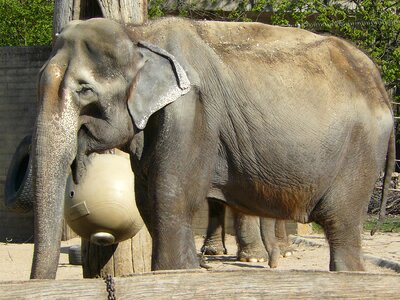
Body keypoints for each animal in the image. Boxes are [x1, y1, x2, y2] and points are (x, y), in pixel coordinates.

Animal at [30, 17, 394, 278]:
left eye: (85, 90)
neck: (139, 34)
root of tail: (380, 85)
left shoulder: (191, 110)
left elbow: (171, 194)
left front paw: (177, 273)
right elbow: (145, 199)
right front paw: (192, 269)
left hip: (360, 152)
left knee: (340, 222)